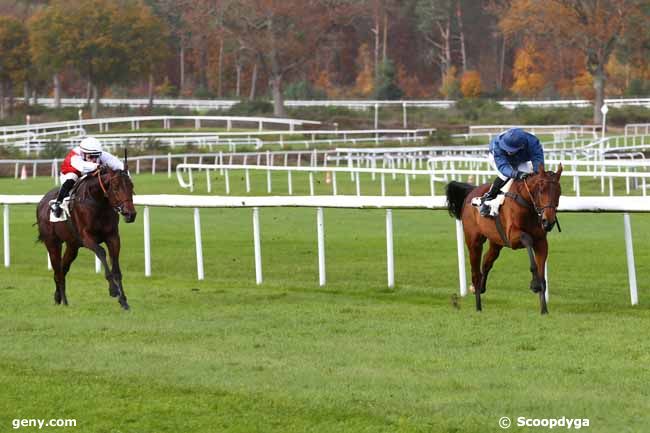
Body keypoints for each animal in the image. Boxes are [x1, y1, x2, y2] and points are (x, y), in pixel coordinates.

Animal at [35, 166, 137, 310]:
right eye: (116, 187)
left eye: (131, 186)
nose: (130, 214)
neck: (98, 202)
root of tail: (41, 202)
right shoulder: (86, 237)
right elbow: (101, 252)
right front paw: (113, 290)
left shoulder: (113, 237)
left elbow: (116, 269)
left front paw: (123, 301)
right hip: (52, 243)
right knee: (57, 271)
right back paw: (64, 300)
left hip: (72, 246)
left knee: (62, 269)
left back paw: (59, 298)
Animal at [442, 164, 560, 312]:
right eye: (541, 191)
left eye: (559, 192)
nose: (548, 222)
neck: (526, 202)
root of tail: (472, 191)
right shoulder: (513, 238)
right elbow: (527, 239)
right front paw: (534, 284)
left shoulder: (541, 242)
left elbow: (542, 275)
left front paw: (544, 310)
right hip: (474, 241)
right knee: (475, 273)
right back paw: (478, 306)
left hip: (496, 242)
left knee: (486, 262)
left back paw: (481, 288)